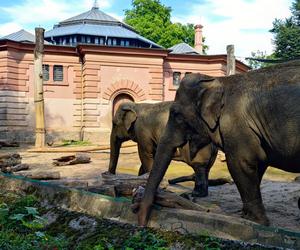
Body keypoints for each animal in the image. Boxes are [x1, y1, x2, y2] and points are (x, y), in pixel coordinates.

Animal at [134, 59, 300, 226]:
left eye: (176, 114)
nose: (142, 223)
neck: (217, 81)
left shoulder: (235, 123)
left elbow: (241, 163)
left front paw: (256, 221)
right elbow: (258, 163)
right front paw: (245, 215)